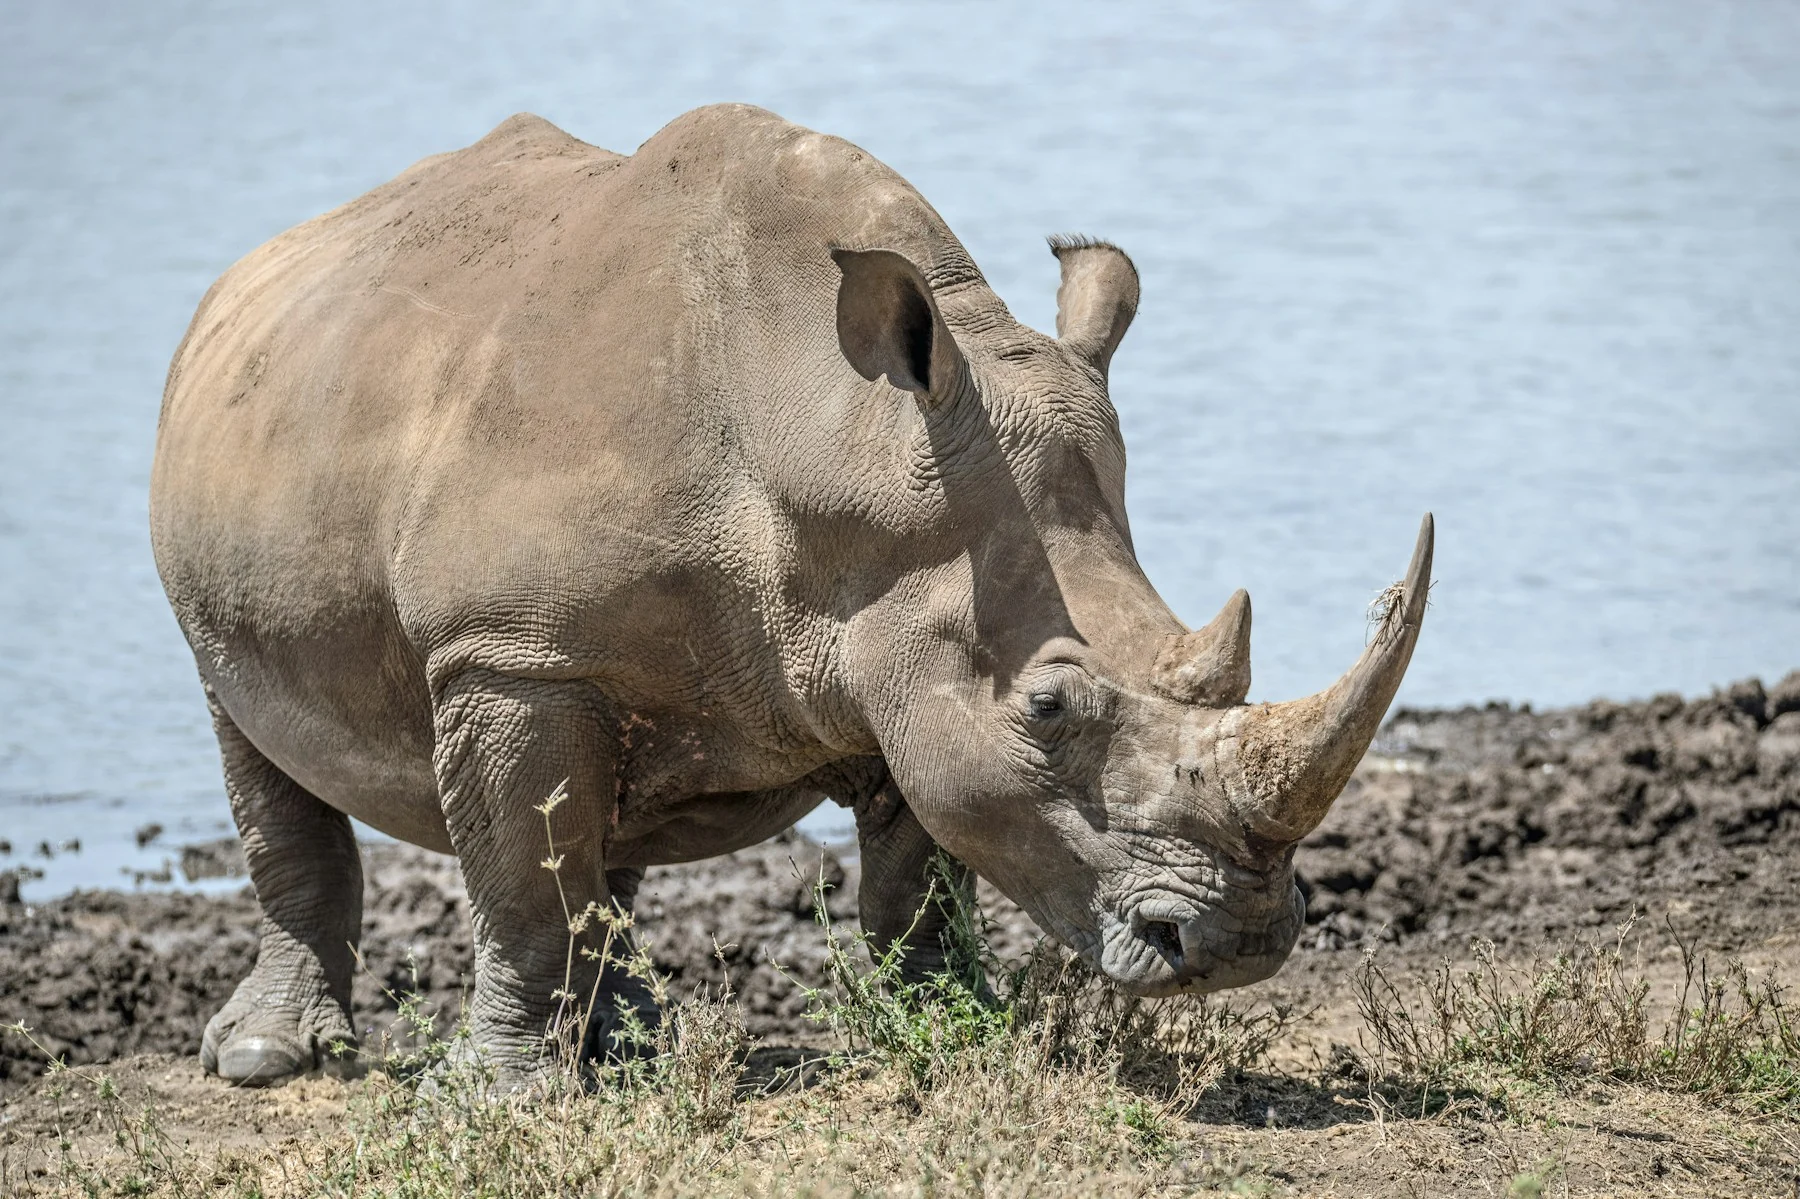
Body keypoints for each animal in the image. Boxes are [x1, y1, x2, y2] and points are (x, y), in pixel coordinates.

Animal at [150, 104, 1432, 1088]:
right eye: (1049, 709)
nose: (1241, 941)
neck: (830, 432)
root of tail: (248, 271)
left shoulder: (903, 630)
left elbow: (922, 866)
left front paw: (948, 1023)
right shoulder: (506, 650)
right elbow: (520, 878)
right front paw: (492, 1094)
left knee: (610, 806)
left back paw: (634, 1045)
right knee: (253, 733)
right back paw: (269, 1060)